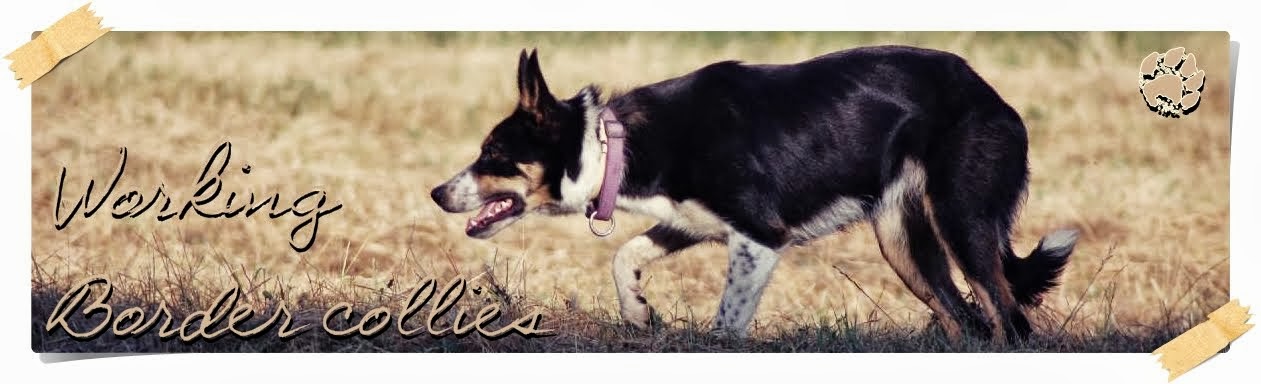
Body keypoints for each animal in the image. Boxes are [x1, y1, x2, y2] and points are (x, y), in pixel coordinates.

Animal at [431, 46, 1074, 342]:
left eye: (492, 154)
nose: (437, 193)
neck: (615, 143)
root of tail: (993, 96)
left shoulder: (759, 239)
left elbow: (725, 323)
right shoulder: (692, 221)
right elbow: (624, 255)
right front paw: (638, 312)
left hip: (963, 223)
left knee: (1009, 321)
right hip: (904, 245)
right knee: (967, 320)